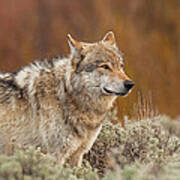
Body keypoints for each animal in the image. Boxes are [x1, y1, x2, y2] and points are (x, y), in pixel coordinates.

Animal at [0, 31, 134, 167]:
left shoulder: (78, 154)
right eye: (105, 66)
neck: (66, 94)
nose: (130, 84)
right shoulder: (55, 155)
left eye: (121, 66)